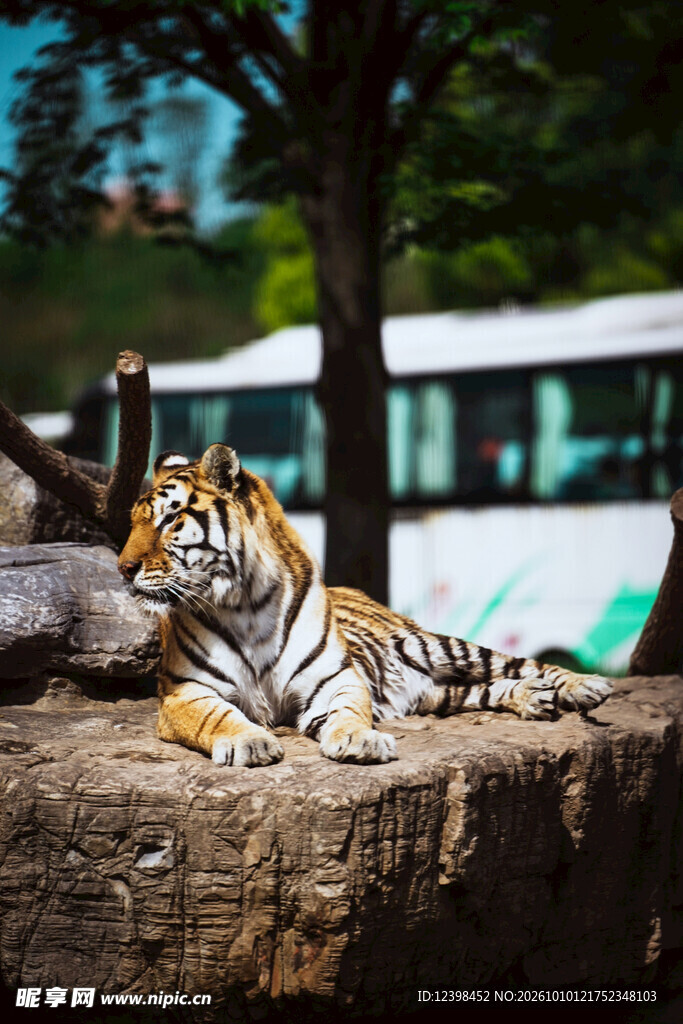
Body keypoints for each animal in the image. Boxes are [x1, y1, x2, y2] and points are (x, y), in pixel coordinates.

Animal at [118, 443, 613, 767]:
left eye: (170, 518)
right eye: (135, 522)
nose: (123, 568)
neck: (245, 604)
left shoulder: (335, 678)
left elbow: (348, 712)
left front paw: (360, 740)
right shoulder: (186, 689)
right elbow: (217, 715)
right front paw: (251, 743)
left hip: (436, 646)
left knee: (523, 664)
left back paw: (584, 686)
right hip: (437, 693)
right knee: (481, 690)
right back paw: (534, 699)